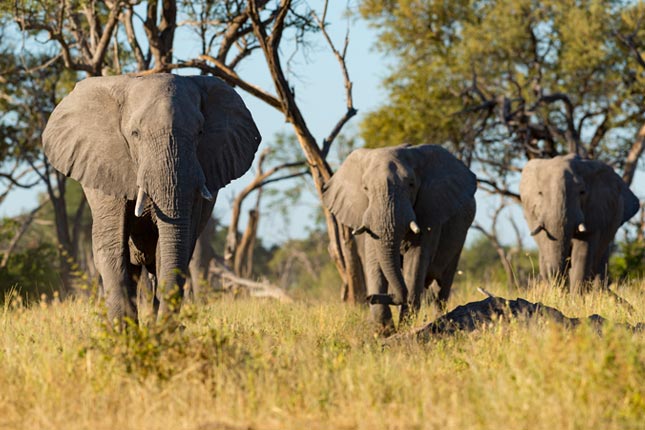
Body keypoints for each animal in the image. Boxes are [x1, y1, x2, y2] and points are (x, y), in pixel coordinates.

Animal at [42, 73, 261, 324]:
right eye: (135, 134)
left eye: (200, 132)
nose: (172, 328)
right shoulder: (104, 167)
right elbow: (112, 246)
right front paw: (122, 332)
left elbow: (171, 250)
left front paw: (157, 331)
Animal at [323, 144, 477, 329]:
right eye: (366, 188)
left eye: (411, 184)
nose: (369, 298)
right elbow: (374, 262)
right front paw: (385, 330)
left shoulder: (429, 211)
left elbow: (415, 262)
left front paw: (403, 327)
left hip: (461, 236)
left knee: (441, 287)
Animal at [519, 154, 640, 291]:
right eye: (540, 193)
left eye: (582, 192)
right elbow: (546, 244)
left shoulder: (595, 211)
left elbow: (583, 253)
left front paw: (574, 296)